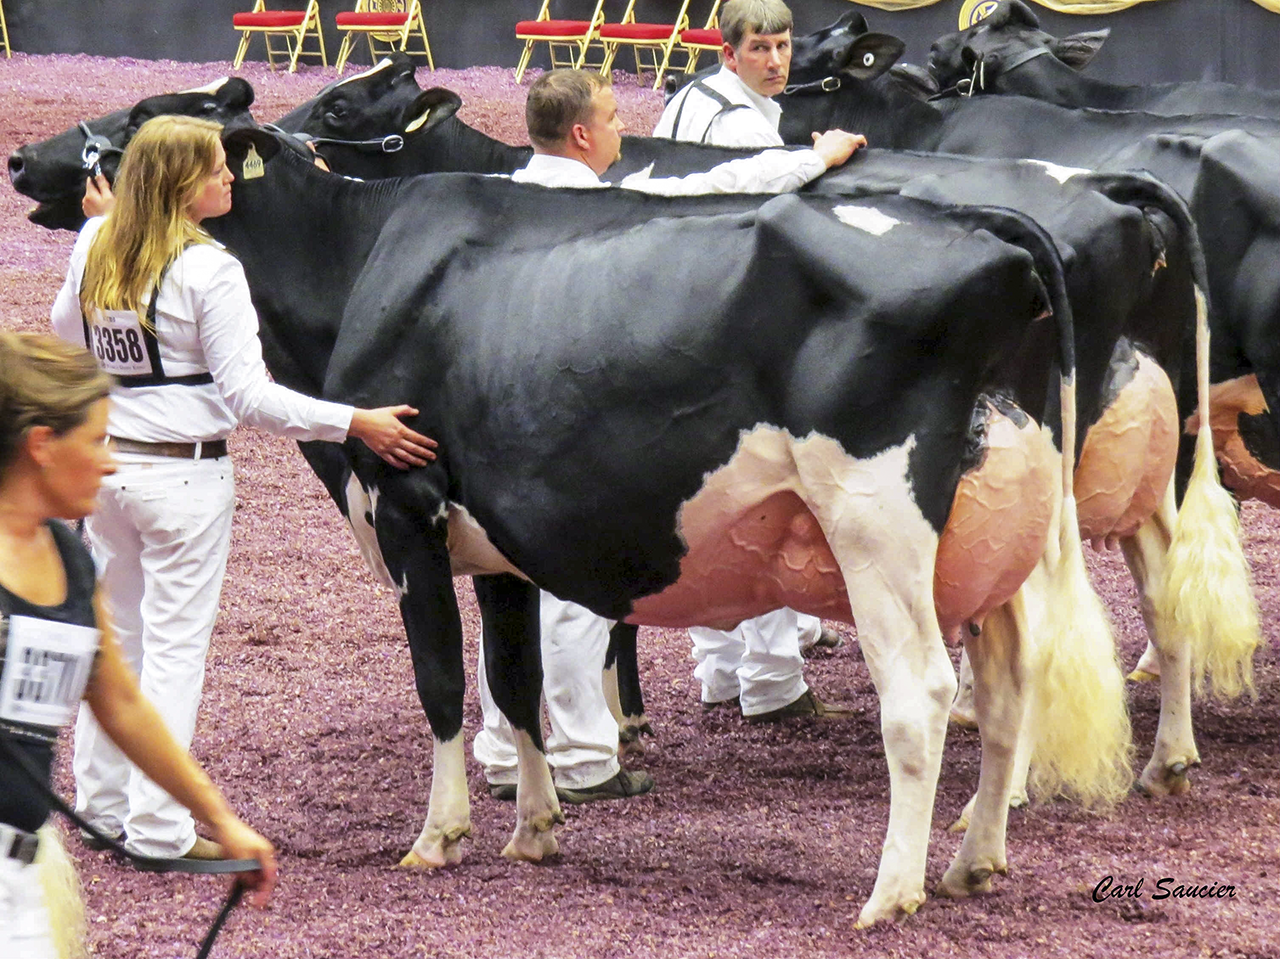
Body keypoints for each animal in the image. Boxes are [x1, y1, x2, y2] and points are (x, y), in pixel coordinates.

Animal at [203, 122, 1123, 926]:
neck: (360, 259)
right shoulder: (498, 545)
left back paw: (891, 891)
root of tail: (984, 223)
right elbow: (514, 677)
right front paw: (534, 827)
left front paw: (439, 834)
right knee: (1008, 684)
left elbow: (440, 682)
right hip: (999, 540)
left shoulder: (405, 507)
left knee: (920, 693)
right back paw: (975, 859)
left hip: (877, 525)